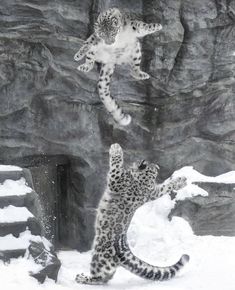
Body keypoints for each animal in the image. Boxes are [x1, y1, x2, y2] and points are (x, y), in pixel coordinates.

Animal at [75, 144, 189, 284]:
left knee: (100, 276)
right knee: (108, 276)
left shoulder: (117, 179)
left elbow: (116, 164)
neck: (142, 182)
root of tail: (125, 249)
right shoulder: (153, 192)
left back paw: (82, 277)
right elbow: (164, 187)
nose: (140, 160)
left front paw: (116, 148)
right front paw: (180, 181)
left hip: (99, 257)